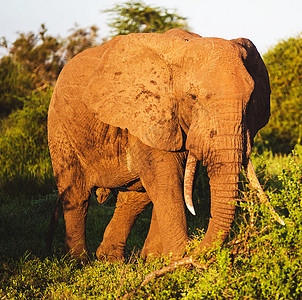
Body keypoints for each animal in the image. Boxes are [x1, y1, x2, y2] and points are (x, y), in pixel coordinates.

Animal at [46, 28, 274, 260]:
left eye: (251, 99)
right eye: (192, 97)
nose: (195, 248)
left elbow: (171, 183)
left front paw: (157, 261)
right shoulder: (147, 115)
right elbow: (167, 181)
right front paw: (178, 259)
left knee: (134, 198)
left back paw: (110, 260)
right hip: (59, 125)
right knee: (76, 194)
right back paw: (78, 261)